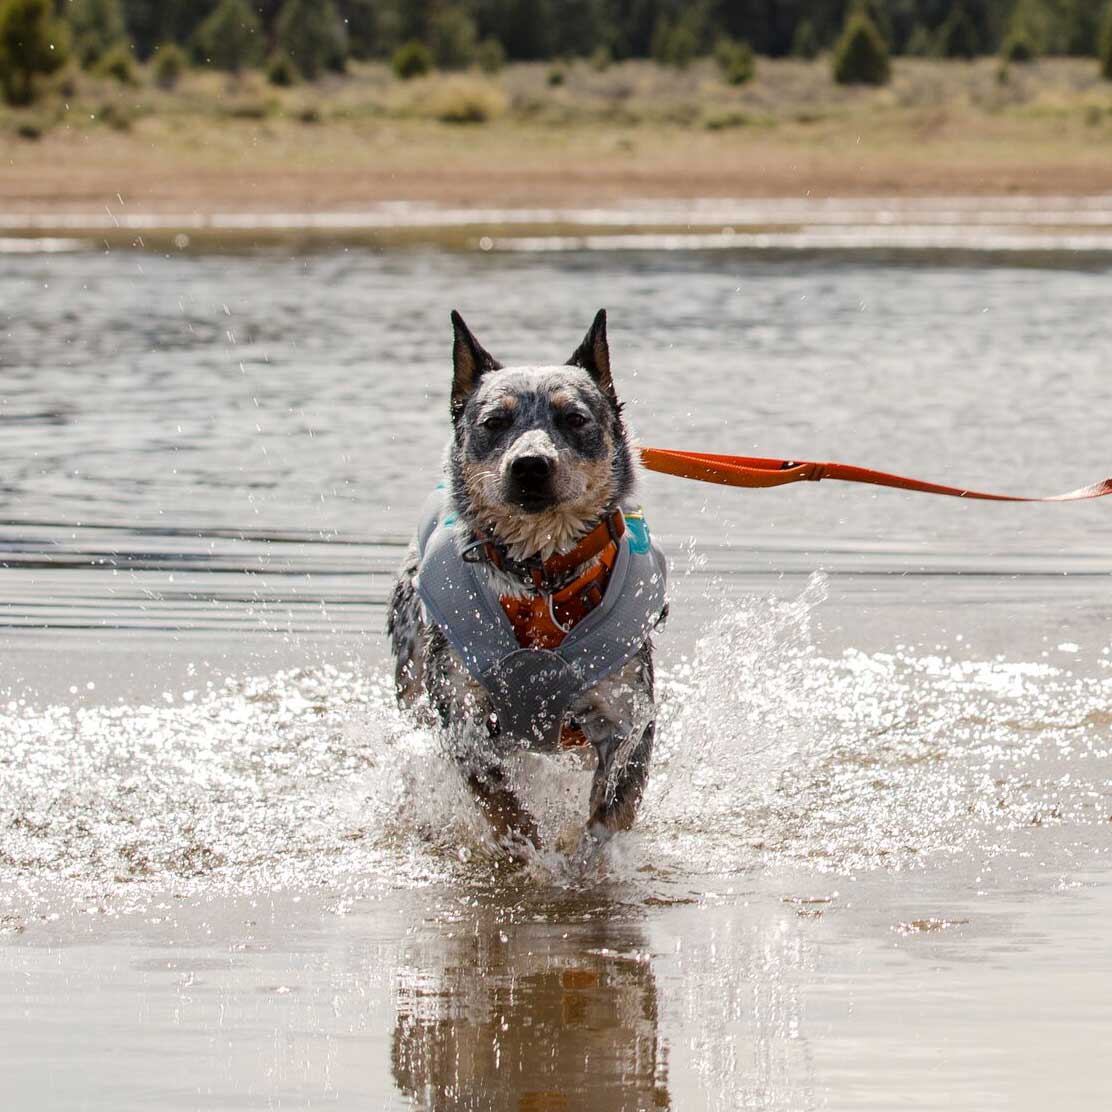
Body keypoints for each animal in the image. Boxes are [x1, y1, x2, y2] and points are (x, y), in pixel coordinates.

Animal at [389, 313, 667, 858]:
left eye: (574, 418)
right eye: (494, 421)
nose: (531, 464)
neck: (540, 575)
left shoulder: (628, 711)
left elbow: (613, 807)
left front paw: (585, 860)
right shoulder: (461, 713)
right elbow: (497, 798)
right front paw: (526, 848)